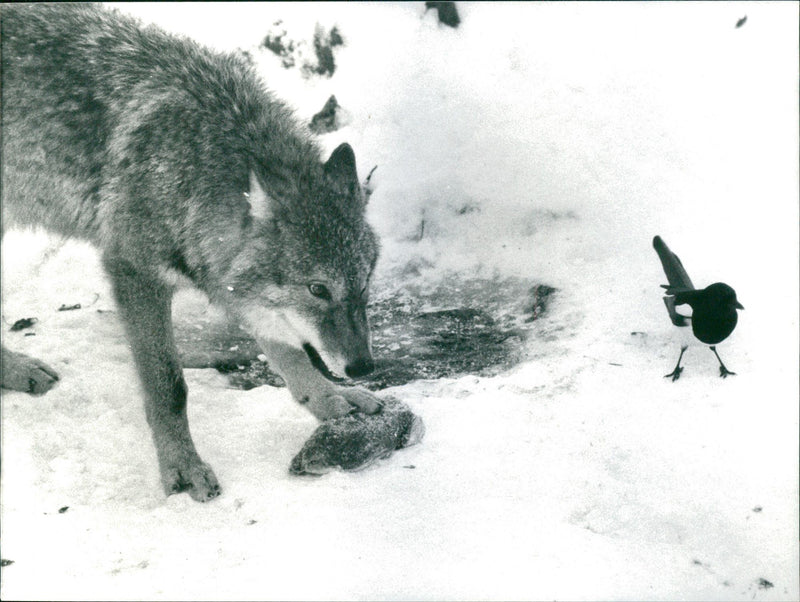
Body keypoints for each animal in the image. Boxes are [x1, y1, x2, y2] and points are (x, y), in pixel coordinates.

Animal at [0, 4, 382, 500]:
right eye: (318, 289)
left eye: (365, 283)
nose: (363, 367)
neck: (189, 171)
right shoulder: (134, 272)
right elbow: (170, 387)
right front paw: (182, 467)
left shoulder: (234, 287)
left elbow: (290, 353)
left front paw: (327, 397)